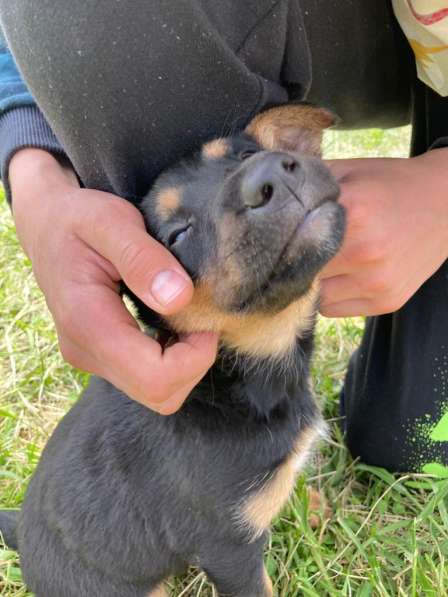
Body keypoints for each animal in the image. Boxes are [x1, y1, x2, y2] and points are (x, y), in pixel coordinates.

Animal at [0, 106, 346, 596]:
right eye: (178, 235)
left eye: (248, 154)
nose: (270, 174)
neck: (230, 380)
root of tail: (20, 537)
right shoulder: (228, 546)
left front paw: (313, 508)